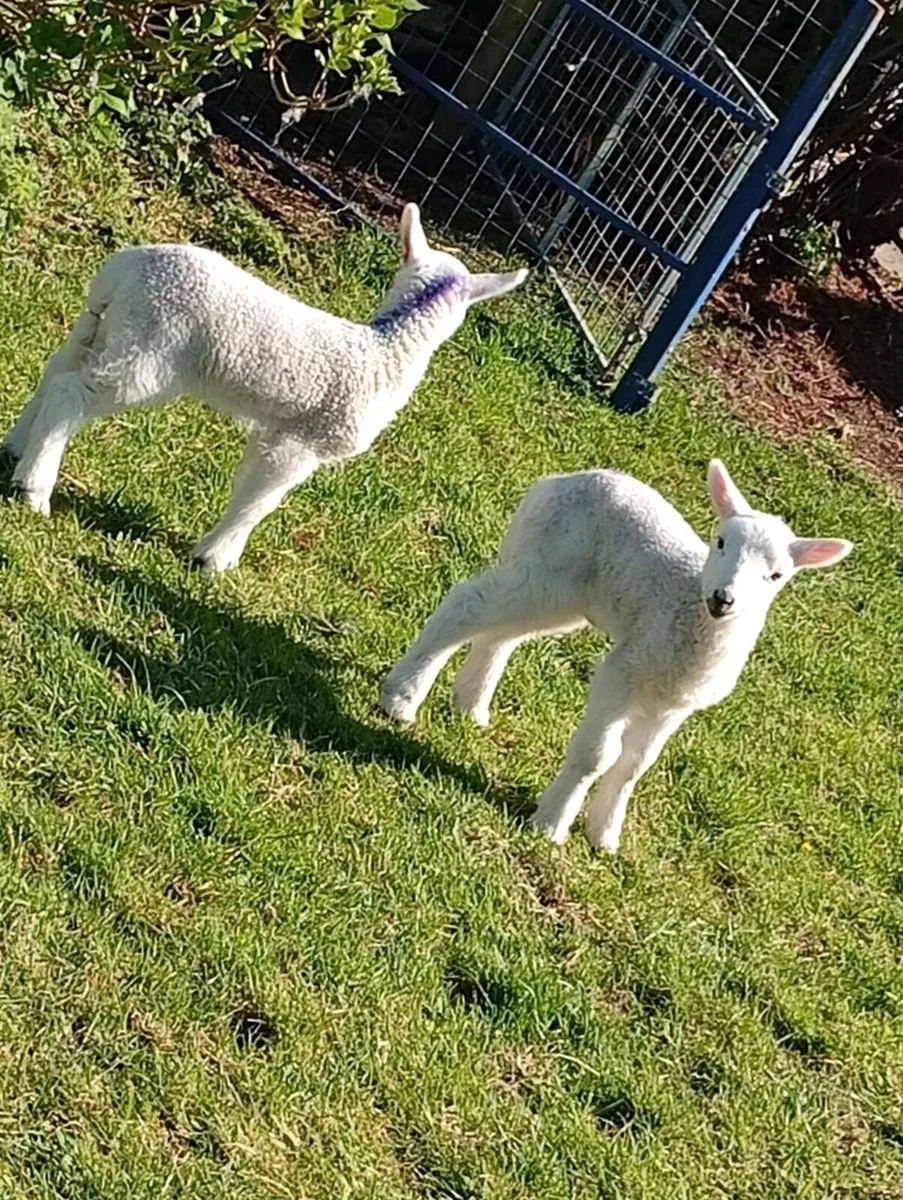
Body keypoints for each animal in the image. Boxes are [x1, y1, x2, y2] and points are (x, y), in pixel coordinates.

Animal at [3, 204, 526, 574]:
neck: (383, 350)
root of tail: (125, 268)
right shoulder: (305, 441)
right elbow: (263, 498)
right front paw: (213, 561)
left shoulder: (274, 431)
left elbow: (249, 485)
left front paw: (223, 552)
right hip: (149, 351)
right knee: (72, 393)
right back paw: (36, 488)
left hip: (99, 327)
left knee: (56, 372)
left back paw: (16, 450)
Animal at [381, 460, 852, 852]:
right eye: (720, 543)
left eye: (776, 576)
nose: (724, 598)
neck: (690, 611)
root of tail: (556, 481)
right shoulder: (625, 668)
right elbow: (599, 755)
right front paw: (551, 824)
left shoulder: (673, 704)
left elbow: (633, 766)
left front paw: (604, 835)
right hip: (548, 571)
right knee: (468, 604)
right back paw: (401, 698)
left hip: (560, 594)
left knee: (500, 634)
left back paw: (471, 707)